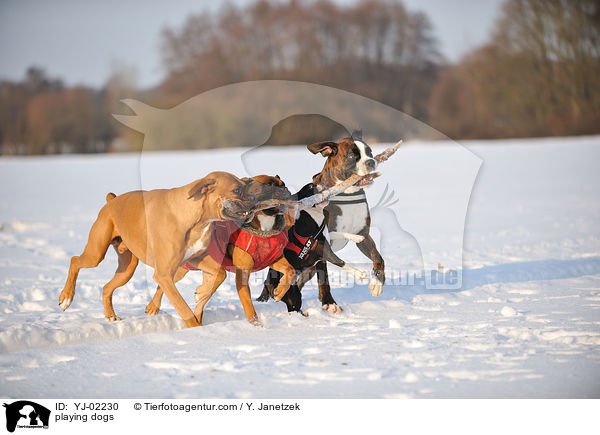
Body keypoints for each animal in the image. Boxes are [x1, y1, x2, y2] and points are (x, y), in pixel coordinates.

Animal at [58, 172, 274, 328]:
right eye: (237, 189)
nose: (256, 201)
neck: (195, 219)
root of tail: (112, 200)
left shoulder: (196, 259)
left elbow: (219, 275)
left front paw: (200, 293)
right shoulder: (163, 275)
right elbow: (183, 307)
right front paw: (196, 329)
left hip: (127, 269)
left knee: (106, 288)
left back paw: (110, 316)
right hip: (96, 253)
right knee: (75, 261)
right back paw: (66, 298)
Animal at [145, 175, 296, 326]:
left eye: (283, 184)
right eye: (269, 185)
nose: (285, 189)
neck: (263, 227)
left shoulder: (274, 259)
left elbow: (290, 270)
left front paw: (280, 291)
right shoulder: (242, 274)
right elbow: (249, 307)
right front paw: (256, 325)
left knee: (203, 295)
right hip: (183, 268)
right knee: (163, 283)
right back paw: (153, 306)